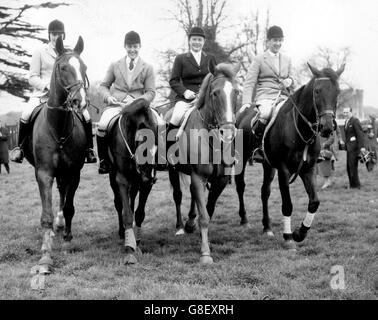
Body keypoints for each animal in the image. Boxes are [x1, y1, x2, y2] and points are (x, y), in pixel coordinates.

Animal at [23, 36, 88, 274]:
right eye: (63, 67)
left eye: (84, 67)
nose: (79, 101)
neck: (58, 127)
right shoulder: (44, 173)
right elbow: (46, 213)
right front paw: (45, 252)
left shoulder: (74, 172)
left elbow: (69, 207)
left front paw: (68, 240)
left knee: (62, 194)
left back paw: (60, 225)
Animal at [108, 99, 158, 264]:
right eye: (143, 149)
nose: (150, 178)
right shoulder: (122, 180)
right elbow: (127, 215)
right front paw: (130, 248)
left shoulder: (144, 184)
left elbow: (139, 213)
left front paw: (137, 242)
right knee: (119, 205)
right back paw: (122, 232)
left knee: (131, 200)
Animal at [168, 62, 239, 262]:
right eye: (215, 93)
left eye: (236, 92)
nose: (228, 133)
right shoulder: (198, 176)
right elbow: (205, 216)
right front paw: (206, 254)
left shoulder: (219, 180)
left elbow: (208, 210)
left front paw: (200, 235)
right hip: (173, 170)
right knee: (178, 195)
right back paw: (180, 227)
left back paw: (190, 222)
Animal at [236, 63, 346, 250]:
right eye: (317, 91)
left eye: (337, 91)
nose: (327, 127)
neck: (299, 129)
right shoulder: (284, 169)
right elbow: (287, 204)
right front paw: (288, 236)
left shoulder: (308, 169)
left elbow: (314, 202)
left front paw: (300, 233)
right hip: (242, 160)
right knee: (240, 186)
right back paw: (244, 220)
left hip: (268, 166)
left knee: (264, 192)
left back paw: (267, 227)